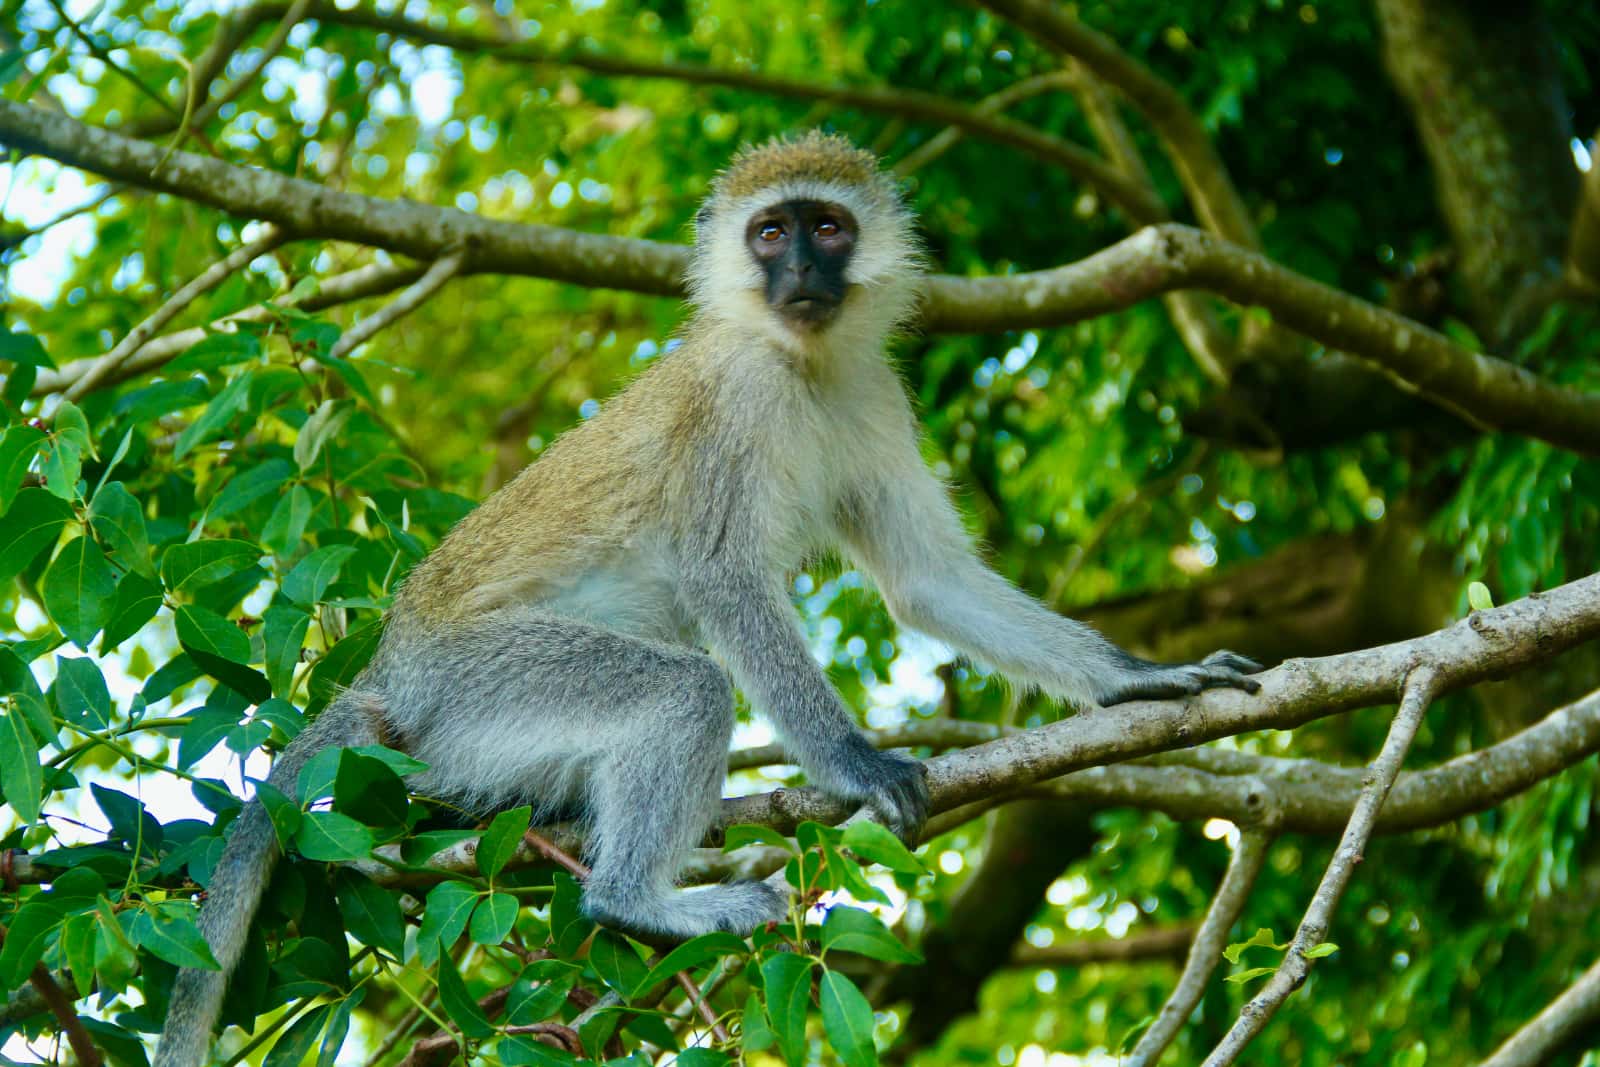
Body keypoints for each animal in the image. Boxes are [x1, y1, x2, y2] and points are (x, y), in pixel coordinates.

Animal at [162, 133, 1260, 1067]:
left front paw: (1136, 677)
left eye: (827, 227)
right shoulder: (734, 401)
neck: (799, 360)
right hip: (478, 684)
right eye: (770, 232)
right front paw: (854, 760)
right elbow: (724, 580)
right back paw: (637, 900)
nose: (801, 271)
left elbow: (927, 581)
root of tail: (393, 675)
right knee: (684, 689)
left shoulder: (871, 391)